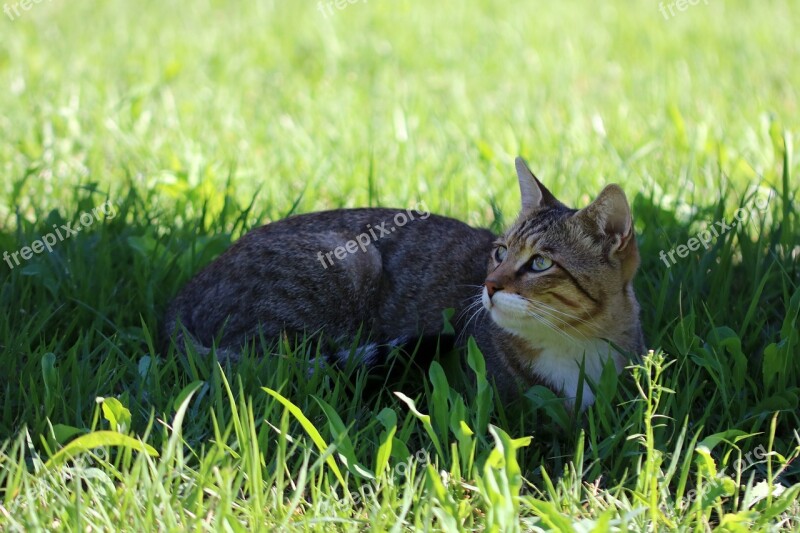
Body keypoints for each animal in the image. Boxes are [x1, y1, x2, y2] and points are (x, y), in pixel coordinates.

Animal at [162, 158, 644, 408]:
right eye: (500, 252)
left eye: (540, 262)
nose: (488, 284)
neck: (574, 346)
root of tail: (182, 296)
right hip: (349, 265)